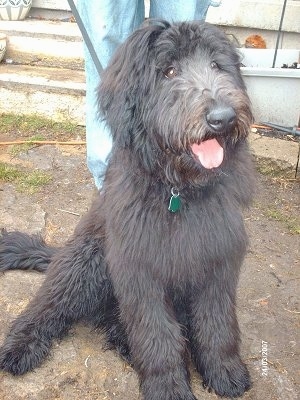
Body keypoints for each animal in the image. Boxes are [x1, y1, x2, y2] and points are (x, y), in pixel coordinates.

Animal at [0, 21, 254, 400]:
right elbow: (157, 334)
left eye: (216, 65)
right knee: (46, 306)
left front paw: (224, 370)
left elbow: (217, 323)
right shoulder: (139, 270)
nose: (222, 118)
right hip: (86, 261)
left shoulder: (218, 262)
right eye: (169, 71)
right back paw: (21, 345)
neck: (178, 191)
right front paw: (168, 387)